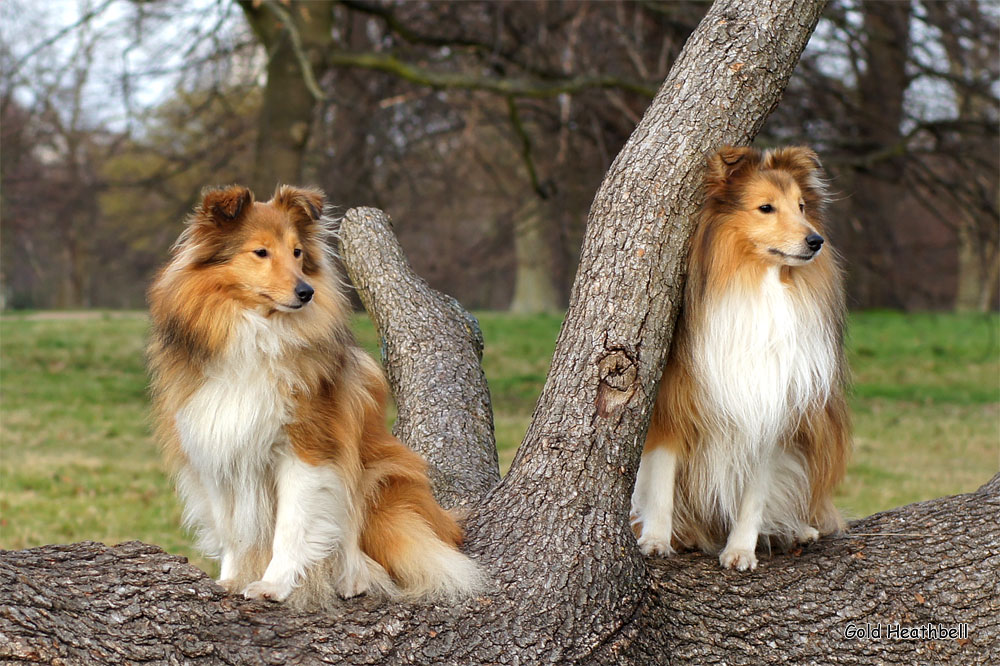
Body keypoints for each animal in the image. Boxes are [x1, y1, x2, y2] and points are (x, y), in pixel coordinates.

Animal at [146, 184, 484, 604]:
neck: (257, 333)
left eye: (297, 252)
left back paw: (353, 577)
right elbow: (234, 530)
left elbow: (292, 527)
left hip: (383, 476)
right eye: (261, 252)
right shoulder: (219, 445)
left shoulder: (308, 448)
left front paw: (274, 584)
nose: (306, 292)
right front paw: (231, 579)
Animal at [628, 145, 848, 572]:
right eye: (766, 207)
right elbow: (661, 479)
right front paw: (656, 540)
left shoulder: (771, 406)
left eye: (801, 205)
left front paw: (741, 549)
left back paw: (797, 530)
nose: (816, 240)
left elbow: (755, 493)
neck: (756, 286)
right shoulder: (671, 404)